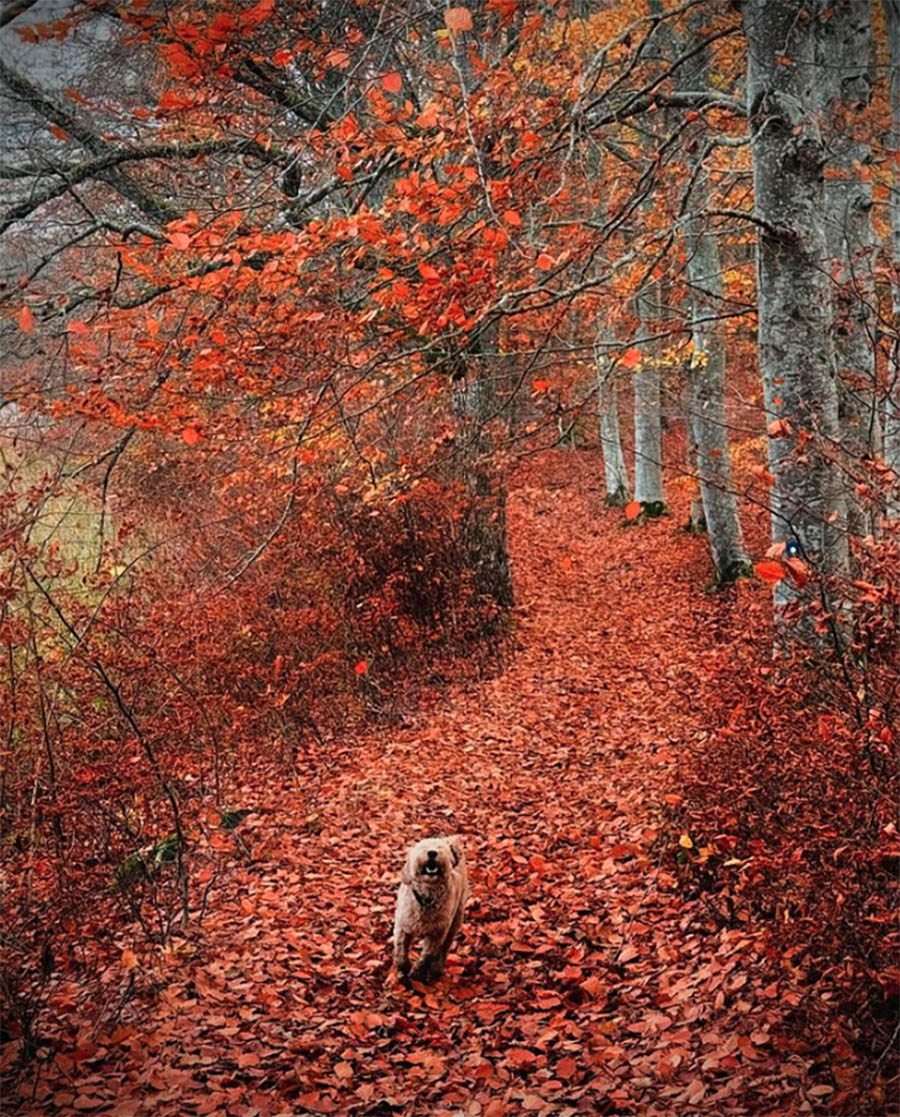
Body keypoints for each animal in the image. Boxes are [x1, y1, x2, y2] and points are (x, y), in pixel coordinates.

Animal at [390, 835, 468, 982]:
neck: (427, 897)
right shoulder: (403, 926)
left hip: (455, 919)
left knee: (445, 946)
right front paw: (405, 967)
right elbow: (400, 951)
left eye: (440, 847)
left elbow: (428, 955)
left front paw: (418, 973)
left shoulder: (437, 933)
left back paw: (437, 968)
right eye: (422, 847)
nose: (432, 853)